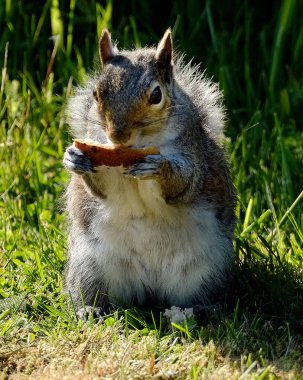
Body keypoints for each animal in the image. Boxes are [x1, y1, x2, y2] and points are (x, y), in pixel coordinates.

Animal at [63, 29, 236, 314]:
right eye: (96, 94)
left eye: (156, 96)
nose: (118, 136)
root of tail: (151, 289)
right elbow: (101, 190)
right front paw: (76, 158)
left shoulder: (192, 153)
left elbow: (186, 183)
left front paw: (158, 168)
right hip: (90, 268)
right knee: (95, 293)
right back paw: (91, 310)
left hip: (209, 271)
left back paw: (196, 311)